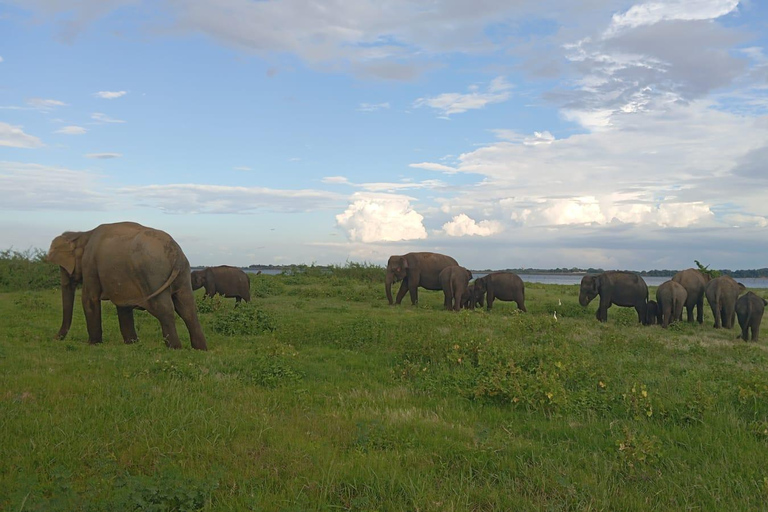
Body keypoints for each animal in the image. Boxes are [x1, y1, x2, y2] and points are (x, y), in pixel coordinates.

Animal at [49, 222, 208, 350]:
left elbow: (89, 299)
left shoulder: (90, 264)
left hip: (153, 274)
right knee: (188, 308)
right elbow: (123, 306)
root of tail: (176, 254)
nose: (55, 338)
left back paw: (175, 348)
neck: (82, 233)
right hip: (183, 274)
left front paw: (93, 344)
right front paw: (132, 343)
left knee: (164, 308)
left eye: (63, 267)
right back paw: (200, 349)